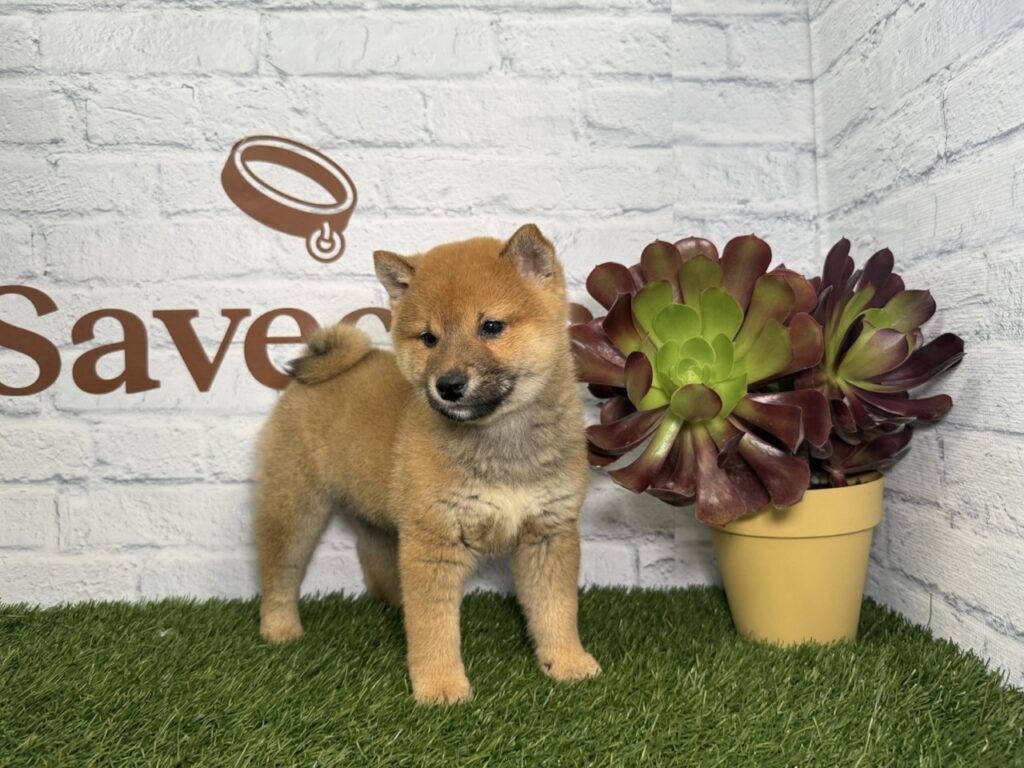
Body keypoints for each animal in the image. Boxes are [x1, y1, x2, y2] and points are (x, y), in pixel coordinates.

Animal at [254, 224, 601, 704]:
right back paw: (280, 628)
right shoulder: (435, 539)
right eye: (428, 338)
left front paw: (566, 662)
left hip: (382, 517)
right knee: (279, 571)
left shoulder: (548, 533)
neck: (500, 440)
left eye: (491, 326)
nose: (448, 385)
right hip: (294, 507)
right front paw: (440, 686)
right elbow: (434, 628)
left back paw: (395, 604)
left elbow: (556, 610)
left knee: (377, 561)